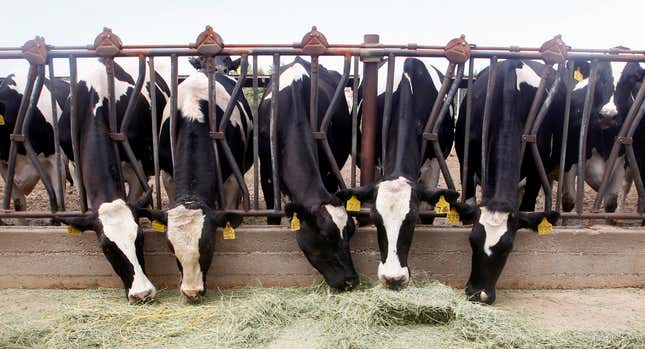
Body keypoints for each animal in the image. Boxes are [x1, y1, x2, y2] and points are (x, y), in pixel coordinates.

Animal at [141, 59, 252, 300]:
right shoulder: (167, 175)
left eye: (207, 247)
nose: (192, 292)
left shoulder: (232, 178)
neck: (194, 113)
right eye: (172, 249)